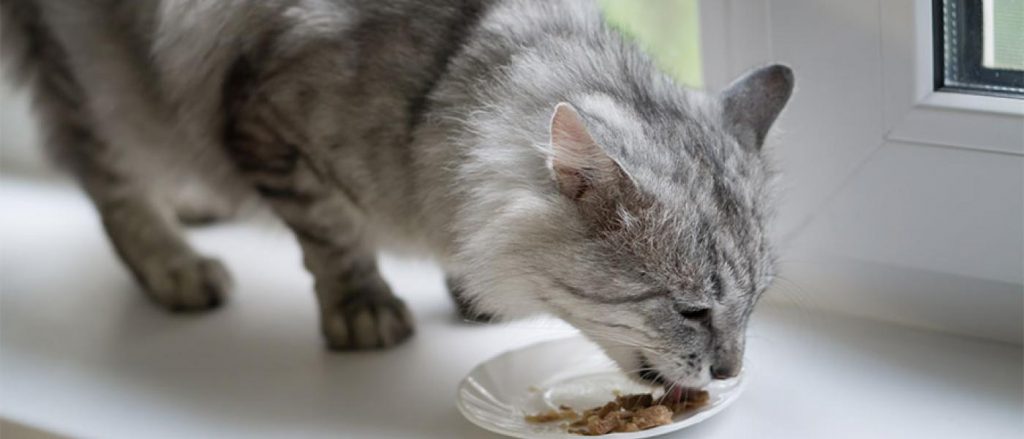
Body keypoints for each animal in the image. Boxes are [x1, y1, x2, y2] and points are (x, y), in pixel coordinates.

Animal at [2, 0, 790, 390]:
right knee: (108, 181)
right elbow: (333, 232)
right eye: (691, 311)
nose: (731, 372)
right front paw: (362, 308)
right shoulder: (262, 118)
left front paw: (464, 288)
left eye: (753, 306)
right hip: (97, 79)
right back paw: (176, 265)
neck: (447, 76)